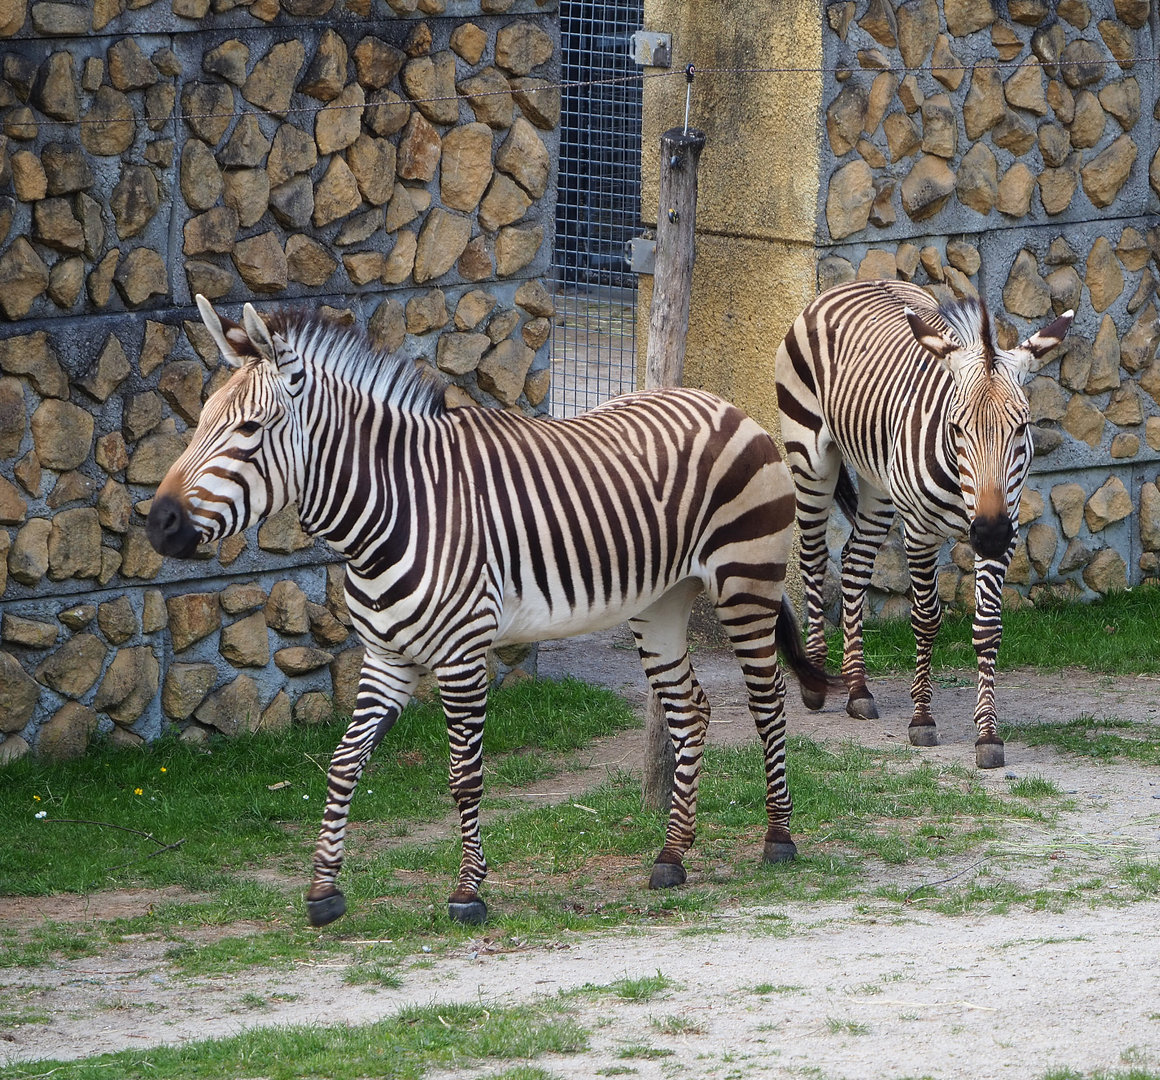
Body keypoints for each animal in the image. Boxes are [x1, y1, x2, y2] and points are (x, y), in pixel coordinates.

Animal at [147, 295, 831, 927]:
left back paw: (779, 838)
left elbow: (463, 774)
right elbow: (343, 764)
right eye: (200, 420)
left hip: (746, 581)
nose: (158, 524)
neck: (397, 509)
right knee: (692, 711)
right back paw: (671, 856)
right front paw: (323, 891)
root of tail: (722, 405)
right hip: (659, 603)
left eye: (249, 430)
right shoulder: (386, 658)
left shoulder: (460, 656)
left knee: (768, 703)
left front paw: (468, 892)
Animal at [774, 279, 1072, 769]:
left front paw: (988, 735)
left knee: (855, 560)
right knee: (815, 557)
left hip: (877, 481)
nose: (988, 533)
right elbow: (925, 619)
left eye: (1021, 427)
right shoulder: (919, 533)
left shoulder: (1005, 529)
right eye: (956, 428)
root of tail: (855, 283)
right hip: (809, 455)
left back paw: (857, 688)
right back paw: (816, 679)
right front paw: (922, 719)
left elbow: (988, 627)